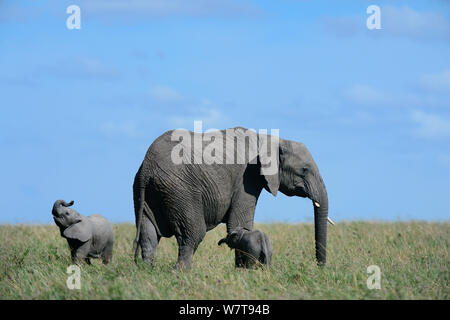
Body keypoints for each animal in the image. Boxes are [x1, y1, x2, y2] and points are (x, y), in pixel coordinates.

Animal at [132, 126, 328, 268]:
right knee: (193, 234)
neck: (270, 139)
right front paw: (242, 271)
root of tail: (147, 166)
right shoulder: (247, 178)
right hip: (180, 189)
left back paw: (147, 272)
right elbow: (239, 223)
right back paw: (181, 273)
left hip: (147, 191)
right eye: (304, 170)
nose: (319, 268)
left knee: (149, 235)